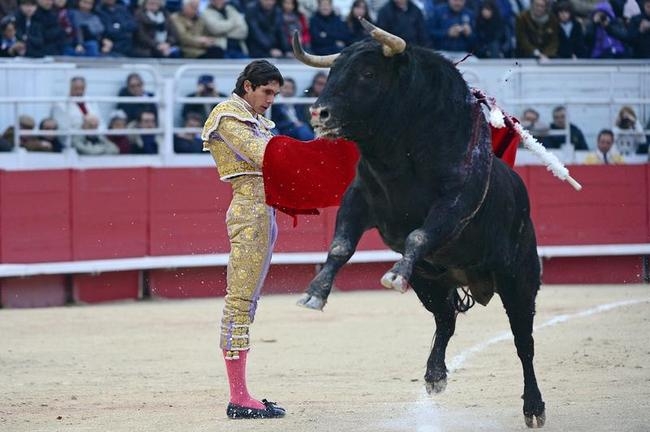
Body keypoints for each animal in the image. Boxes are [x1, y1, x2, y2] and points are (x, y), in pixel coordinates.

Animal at [292, 19, 544, 426]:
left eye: (367, 73)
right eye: (332, 71)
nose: (318, 114)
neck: (400, 158)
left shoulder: (453, 206)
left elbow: (418, 236)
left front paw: (394, 274)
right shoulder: (358, 199)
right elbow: (341, 245)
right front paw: (315, 292)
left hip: (518, 279)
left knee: (524, 342)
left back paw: (534, 407)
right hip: (430, 280)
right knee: (446, 321)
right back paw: (435, 375)